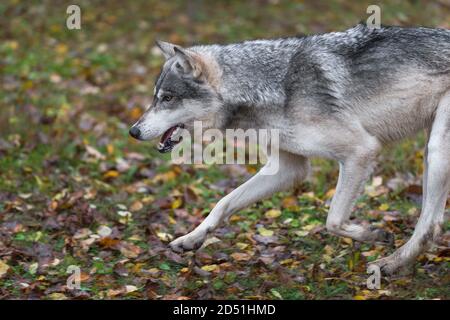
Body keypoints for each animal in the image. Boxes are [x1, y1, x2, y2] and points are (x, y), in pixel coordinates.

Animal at [129, 24, 450, 276]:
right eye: (155, 98)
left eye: (167, 98)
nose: (133, 131)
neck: (270, 87)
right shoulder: (288, 169)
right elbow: (223, 203)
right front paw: (192, 238)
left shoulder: (361, 151)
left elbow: (333, 220)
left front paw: (370, 233)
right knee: (434, 223)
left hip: (436, 151)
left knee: (429, 225)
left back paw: (389, 264)